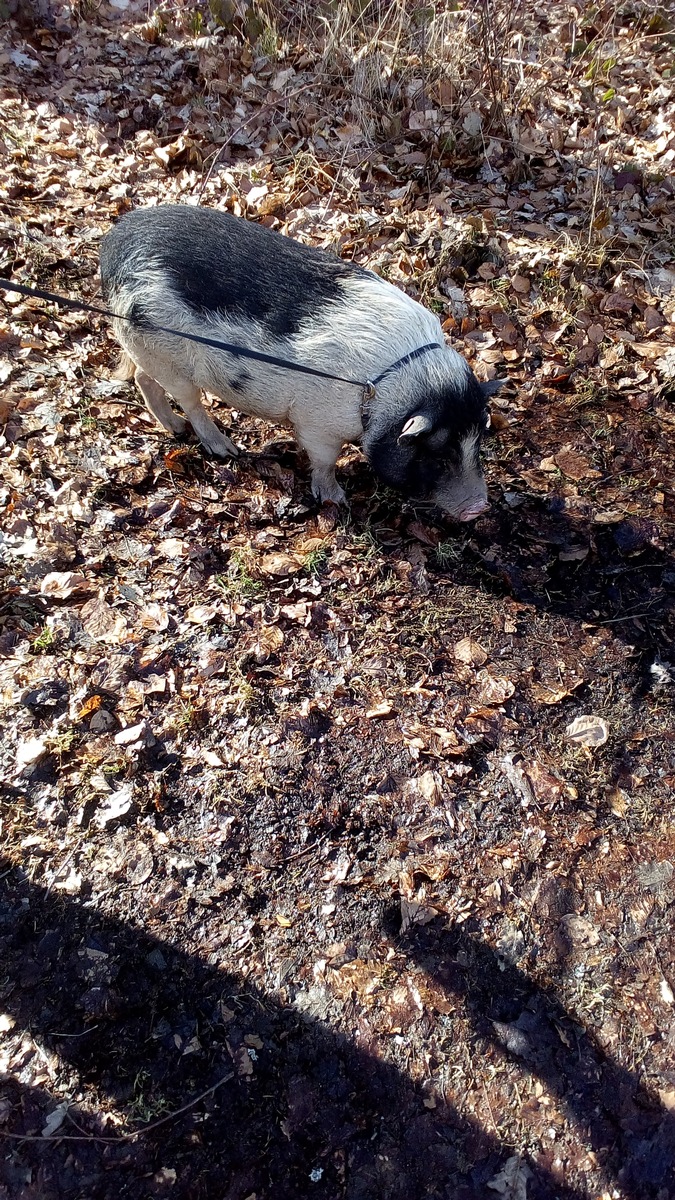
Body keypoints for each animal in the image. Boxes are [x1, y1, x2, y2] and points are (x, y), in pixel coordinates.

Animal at [99, 205, 499, 520]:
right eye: (439, 456)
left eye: (477, 444)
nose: (480, 507)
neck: (378, 389)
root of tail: (114, 244)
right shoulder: (317, 424)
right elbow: (324, 460)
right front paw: (336, 500)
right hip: (169, 358)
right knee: (190, 403)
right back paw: (225, 448)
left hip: (146, 348)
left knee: (143, 380)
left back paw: (175, 429)